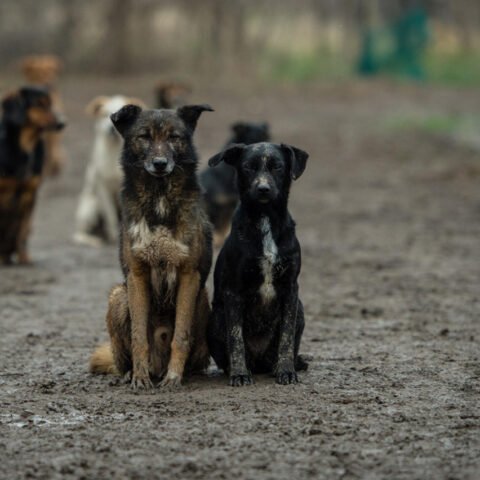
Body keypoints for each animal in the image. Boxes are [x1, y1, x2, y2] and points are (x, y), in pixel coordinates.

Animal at [72, 94, 144, 248]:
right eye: (104, 114)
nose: (111, 128)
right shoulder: (103, 188)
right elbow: (110, 215)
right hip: (91, 207)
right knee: (80, 234)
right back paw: (94, 240)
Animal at [91, 103, 215, 388]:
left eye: (173, 137)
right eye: (144, 137)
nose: (160, 163)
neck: (160, 196)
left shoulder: (189, 275)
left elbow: (181, 334)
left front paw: (174, 377)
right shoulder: (137, 275)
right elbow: (139, 336)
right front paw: (140, 376)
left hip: (203, 299)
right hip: (118, 295)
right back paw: (131, 373)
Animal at [199, 120, 270, 248]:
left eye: (267, 137)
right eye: (255, 139)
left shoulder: (231, 204)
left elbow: (226, 225)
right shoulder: (216, 205)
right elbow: (218, 225)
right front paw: (218, 240)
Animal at [206, 141, 308, 384]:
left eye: (277, 167)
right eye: (248, 167)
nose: (263, 189)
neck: (265, 219)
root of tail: (260, 362)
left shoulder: (291, 288)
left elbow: (286, 337)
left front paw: (286, 371)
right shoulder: (233, 291)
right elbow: (235, 338)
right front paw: (240, 374)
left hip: (300, 309)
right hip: (215, 318)